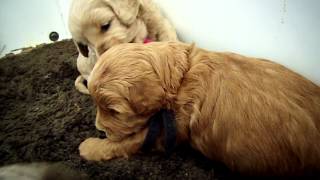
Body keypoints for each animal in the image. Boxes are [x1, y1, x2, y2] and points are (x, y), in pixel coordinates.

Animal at [79, 41, 320, 175]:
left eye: (114, 112)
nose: (100, 128)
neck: (181, 76)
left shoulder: (170, 129)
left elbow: (126, 142)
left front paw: (90, 147)